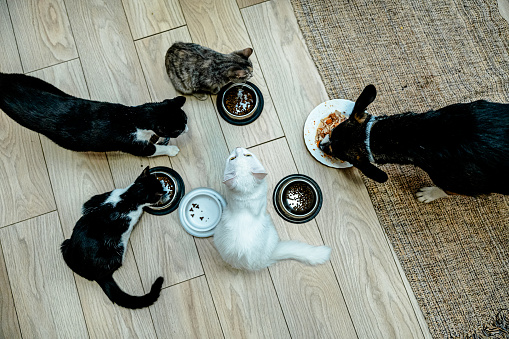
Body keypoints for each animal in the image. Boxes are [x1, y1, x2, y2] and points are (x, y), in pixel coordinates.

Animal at [0, 73, 188, 158]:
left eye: (186, 120)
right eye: (178, 129)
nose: (187, 128)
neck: (133, 118)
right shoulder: (134, 146)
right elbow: (153, 149)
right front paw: (171, 149)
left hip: (38, 82)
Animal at [320, 85, 508, 202]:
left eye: (334, 150)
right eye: (332, 131)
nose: (321, 145)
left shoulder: (461, 186)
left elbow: (444, 189)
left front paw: (429, 194)